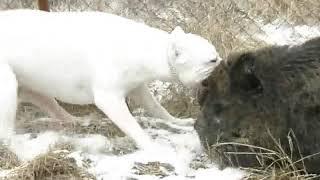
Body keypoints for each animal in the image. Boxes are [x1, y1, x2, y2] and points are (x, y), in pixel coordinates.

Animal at [0, 9, 221, 149]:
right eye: (212, 60)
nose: (225, 61)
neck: (147, 49)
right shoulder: (109, 98)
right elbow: (132, 125)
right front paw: (153, 147)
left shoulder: (138, 87)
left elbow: (157, 108)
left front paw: (178, 121)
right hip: (7, 86)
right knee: (6, 132)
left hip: (33, 89)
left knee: (53, 106)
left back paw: (78, 122)